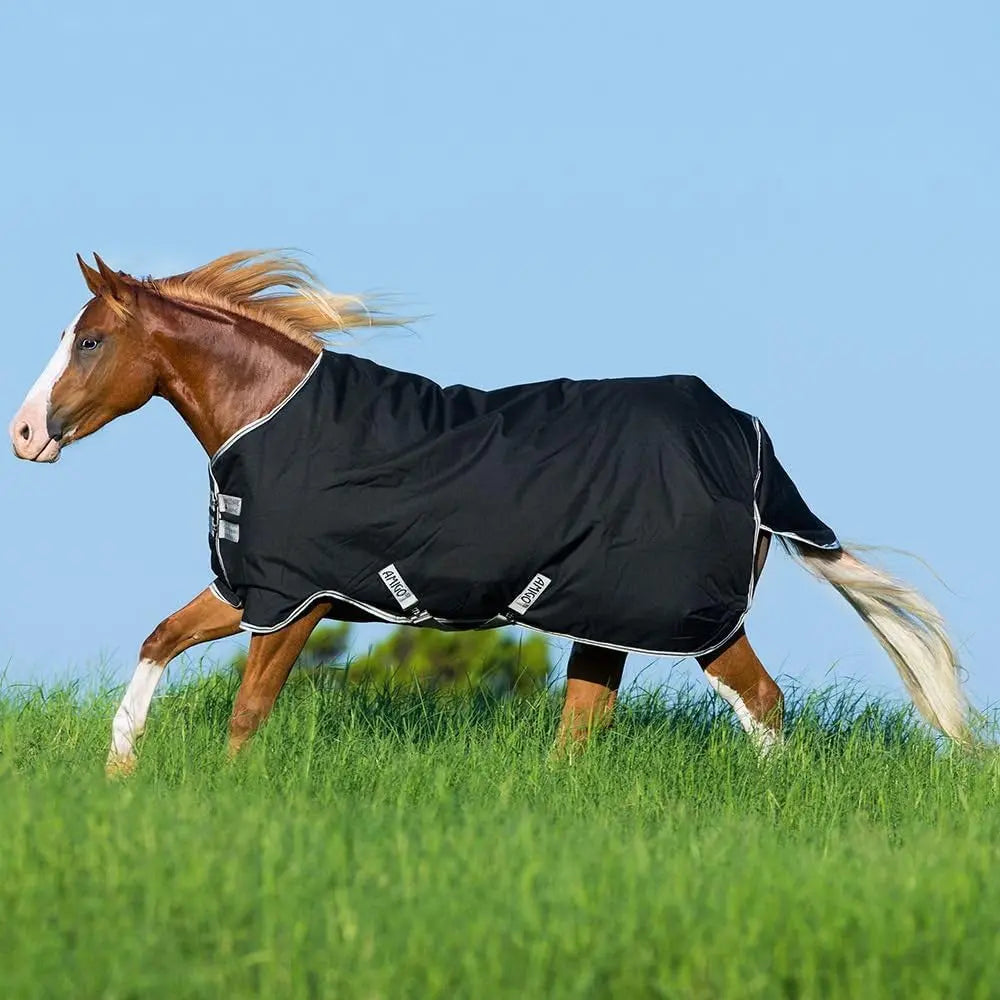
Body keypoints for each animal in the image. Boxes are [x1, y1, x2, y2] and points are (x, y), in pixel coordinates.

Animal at [9, 251, 970, 774]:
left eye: (90, 339)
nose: (23, 434)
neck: (272, 416)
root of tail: (748, 437)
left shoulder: (297, 599)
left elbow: (248, 709)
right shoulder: (254, 590)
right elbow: (158, 641)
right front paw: (120, 772)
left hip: (692, 618)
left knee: (762, 703)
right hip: (603, 615)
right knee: (582, 728)